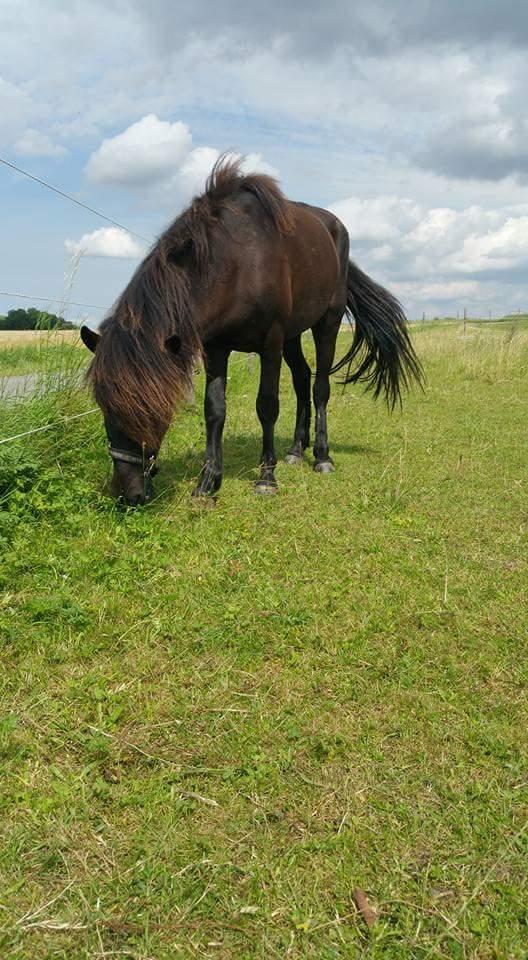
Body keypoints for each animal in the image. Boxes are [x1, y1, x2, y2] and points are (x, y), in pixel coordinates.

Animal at [80, 157, 422, 502]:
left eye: (152, 407)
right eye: (103, 405)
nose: (128, 493)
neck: (235, 263)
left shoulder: (270, 343)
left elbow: (267, 406)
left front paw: (266, 478)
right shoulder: (216, 347)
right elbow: (215, 410)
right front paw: (208, 482)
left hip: (327, 322)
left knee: (319, 387)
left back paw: (321, 457)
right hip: (292, 336)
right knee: (302, 378)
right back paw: (296, 450)